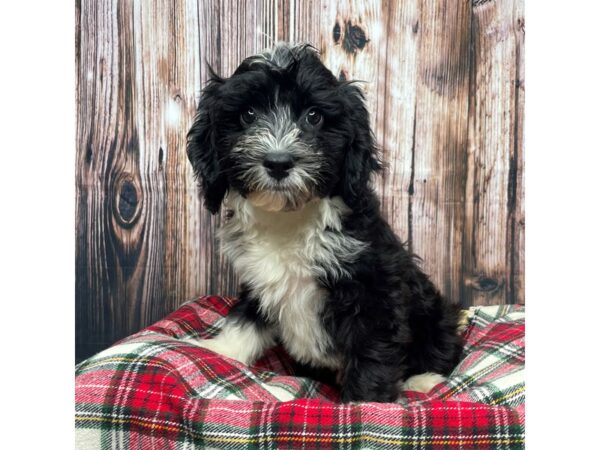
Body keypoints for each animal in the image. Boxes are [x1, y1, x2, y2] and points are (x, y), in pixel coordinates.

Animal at [188, 43, 464, 400]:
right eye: (248, 115)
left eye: (313, 116)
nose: (278, 162)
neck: (289, 219)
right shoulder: (258, 281)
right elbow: (246, 319)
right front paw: (221, 351)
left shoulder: (374, 291)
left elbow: (372, 353)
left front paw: (367, 403)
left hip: (435, 314)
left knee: (444, 346)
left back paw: (424, 379)